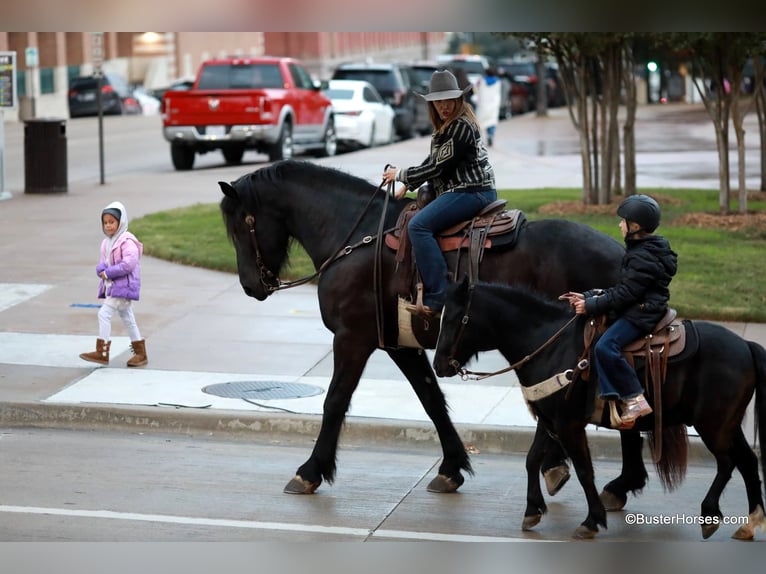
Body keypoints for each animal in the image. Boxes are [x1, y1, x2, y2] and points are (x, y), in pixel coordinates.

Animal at [219, 160, 628, 498]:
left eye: (241, 227)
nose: (250, 286)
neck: (354, 236)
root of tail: (621, 251)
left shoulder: (353, 338)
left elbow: (334, 400)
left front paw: (310, 471)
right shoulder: (399, 344)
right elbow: (431, 400)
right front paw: (452, 467)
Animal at [432, 276, 766, 544]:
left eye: (456, 319)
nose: (438, 365)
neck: (549, 345)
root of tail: (746, 345)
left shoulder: (568, 425)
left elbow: (583, 470)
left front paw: (592, 520)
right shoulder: (549, 420)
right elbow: (531, 460)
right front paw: (532, 510)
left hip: (713, 425)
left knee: (727, 463)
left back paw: (710, 515)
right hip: (727, 424)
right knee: (748, 461)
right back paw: (750, 523)